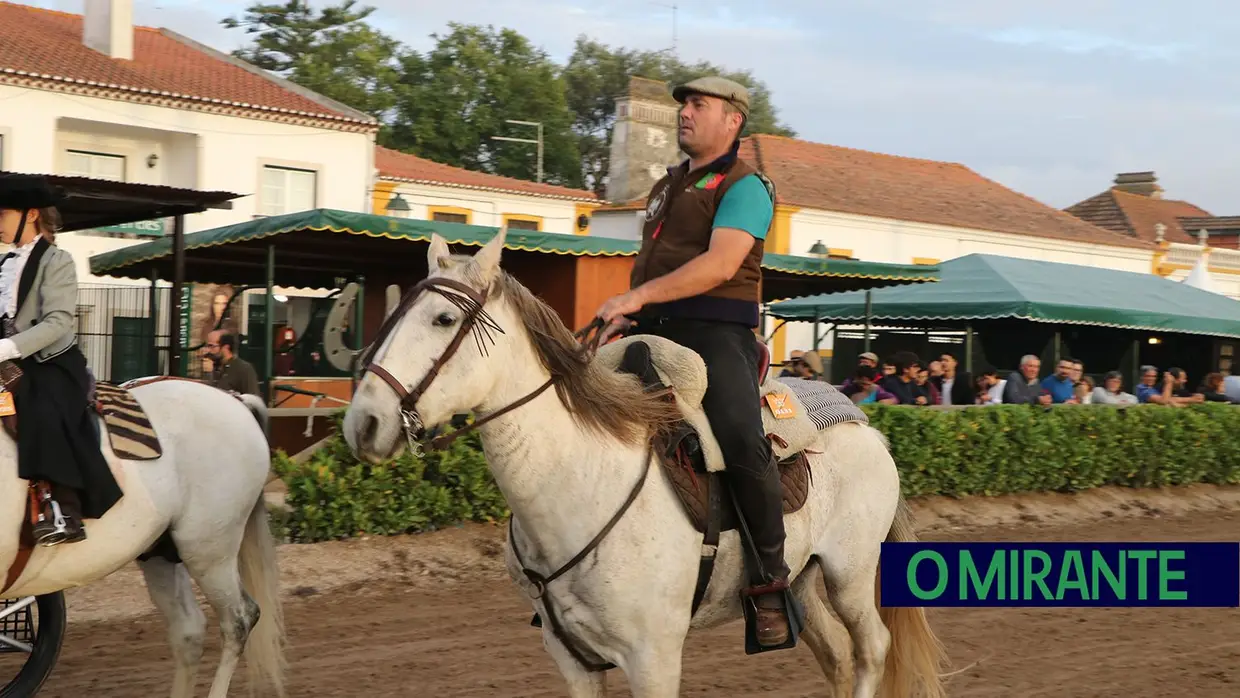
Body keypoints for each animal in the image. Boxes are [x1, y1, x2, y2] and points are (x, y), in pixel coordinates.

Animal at [344, 230, 942, 698]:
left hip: (850, 574)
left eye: (444, 318)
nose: (363, 423)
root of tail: (863, 425)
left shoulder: (653, 659)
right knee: (837, 657)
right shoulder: (573, 659)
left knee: (871, 650)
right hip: (801, 581)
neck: (580, 483)